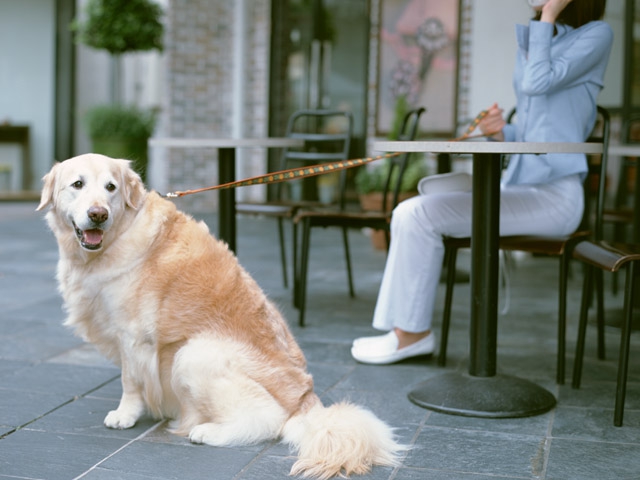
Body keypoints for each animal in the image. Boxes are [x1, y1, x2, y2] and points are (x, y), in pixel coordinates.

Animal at [36, 155, 404, 480]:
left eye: (111, 187)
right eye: (78, 184)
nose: (98, 214)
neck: (118, 236)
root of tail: (307, 404)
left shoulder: (134, 335)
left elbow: (131, 381)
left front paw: (125, 415)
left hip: (193, 354)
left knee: (269, 421)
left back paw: (205, 432)